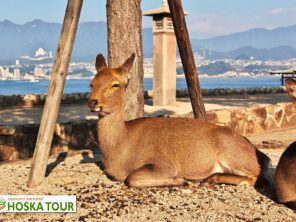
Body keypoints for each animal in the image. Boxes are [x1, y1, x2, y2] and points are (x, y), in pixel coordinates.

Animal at [87, 53, 270, 188]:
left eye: (115, 84)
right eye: (92, 83)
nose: (92, 102)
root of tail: (258, 154)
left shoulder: (164, 164)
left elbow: (131, 178)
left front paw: (181, 180)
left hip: (234, 154)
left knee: (255, 177)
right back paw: (209, 179)